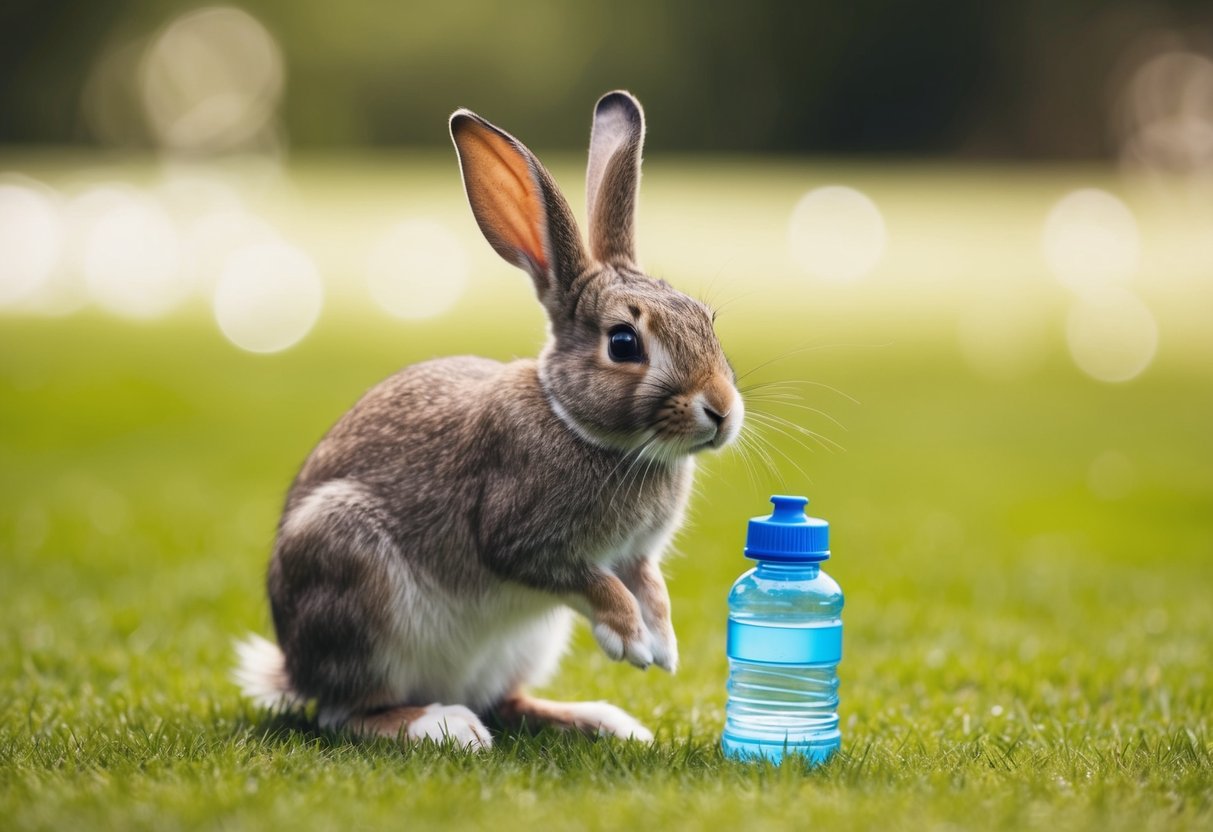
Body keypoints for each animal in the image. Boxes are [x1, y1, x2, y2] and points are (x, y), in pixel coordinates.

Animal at [234, 90, 743, 749]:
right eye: (624, 343)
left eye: (707, 320)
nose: (722, 412)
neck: (577, 423)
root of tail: (294, 667)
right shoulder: (520, 539)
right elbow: (593, 581)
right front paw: (631, 640)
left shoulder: (635, 555)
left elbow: (649, 585)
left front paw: (662, 645)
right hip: (353, 583)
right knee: (347, 713)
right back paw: (446, 726)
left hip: (526, 645)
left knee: (506, 701)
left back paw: (603, 721)